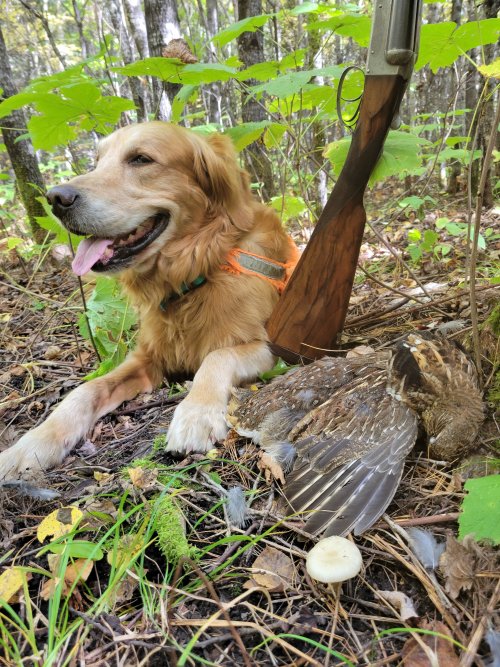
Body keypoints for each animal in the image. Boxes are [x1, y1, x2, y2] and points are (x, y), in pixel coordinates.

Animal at [0, 121, 296, 480]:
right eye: (97, 161)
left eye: (141, 159)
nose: (56, 198)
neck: (193, 274)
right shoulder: (146, 359)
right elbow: (84, 390)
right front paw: (32, 442)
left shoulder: (269, 347)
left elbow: (217, 357)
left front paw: (195, 413)